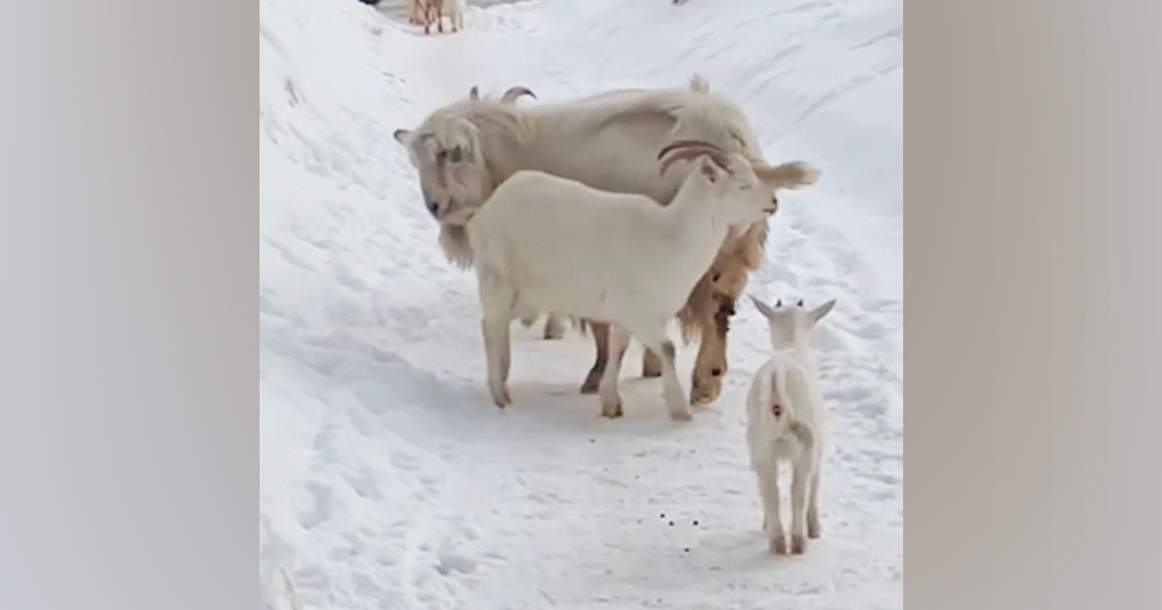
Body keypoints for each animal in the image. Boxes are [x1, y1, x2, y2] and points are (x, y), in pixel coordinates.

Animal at [464, 140, 818, 420]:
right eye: (743, 185)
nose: (773, 202)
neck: (673, 238)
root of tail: (486, 212)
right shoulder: (640, 314)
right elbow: (668, 349)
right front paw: (680, 410)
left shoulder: (626, 318)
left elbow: (618, 350)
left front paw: (611, 403)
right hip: (498, 281)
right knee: (492, 326)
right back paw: (500, 396)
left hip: (527, 295)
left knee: (493, 326)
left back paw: (503, 383)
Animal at [743, 293, 836, 550]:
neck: (792, 345)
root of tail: (778, 377)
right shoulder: (818, 448)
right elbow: (814, 486)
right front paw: (815, 529)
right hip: (807, 443)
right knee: (798, 491)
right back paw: (797, 542)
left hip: (760, 446)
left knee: (769, 490)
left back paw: (776, 540)